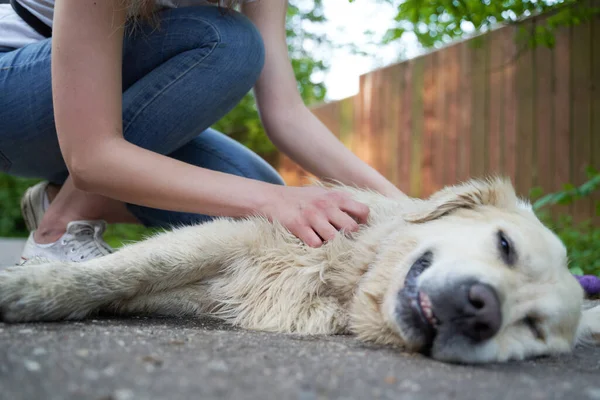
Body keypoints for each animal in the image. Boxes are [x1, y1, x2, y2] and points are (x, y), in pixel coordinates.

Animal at [1, 177, 600, 364]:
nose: (482, 310)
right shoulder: (228, 238)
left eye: (534, 329)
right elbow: (126, 271)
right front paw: (33, 285)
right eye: (504, 245)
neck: (347, 281)